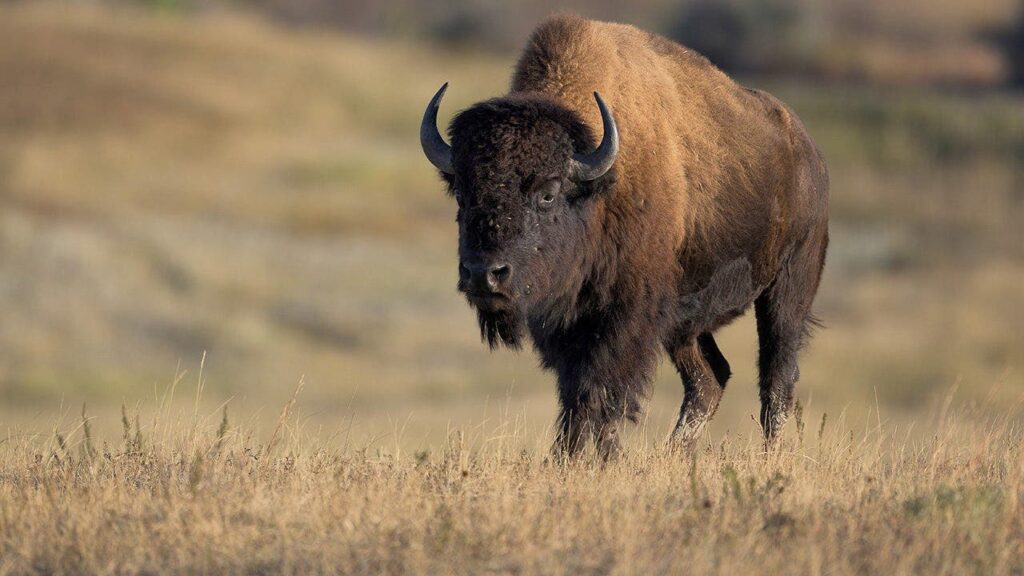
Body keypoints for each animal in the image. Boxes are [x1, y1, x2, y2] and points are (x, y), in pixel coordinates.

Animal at [420, 15, 829, 457]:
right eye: (462, 192)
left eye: (547, 193)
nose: (484, 274)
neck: (598, 187)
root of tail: (809, 151)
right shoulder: (566, 325)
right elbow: (576, 393)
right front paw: (572, 456)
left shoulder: (627, 316)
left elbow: (601, 390)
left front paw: (593, 457)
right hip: (686, 323)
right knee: (709, 378)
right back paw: (674, 454)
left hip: (788, 288)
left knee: (776, 378)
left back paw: (770, 456)